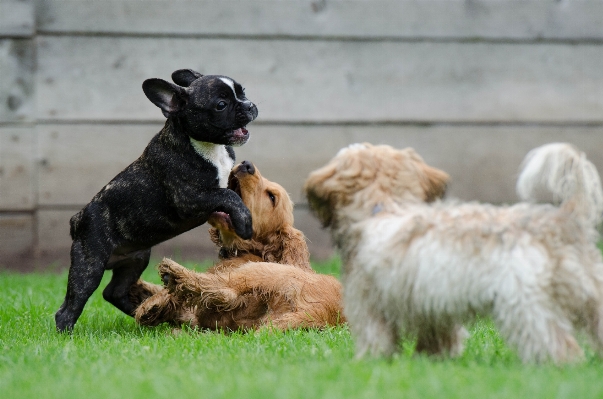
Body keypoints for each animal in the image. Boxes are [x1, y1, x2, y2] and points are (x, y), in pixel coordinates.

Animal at [304, 142, 603, 364]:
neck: (385, 206)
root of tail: (564, 219)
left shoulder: (369, 304)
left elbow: (376, 339)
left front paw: (370, 363)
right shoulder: (433, 308)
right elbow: (438, 339)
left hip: (525, 305)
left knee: (557, 343)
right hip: (591, 295)